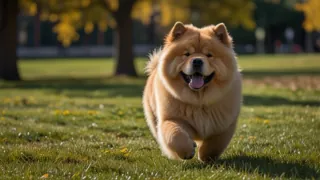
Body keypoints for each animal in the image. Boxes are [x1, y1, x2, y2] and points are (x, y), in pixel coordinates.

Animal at [144, 21, 241, 162]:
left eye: (209, 55)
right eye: (187, 54)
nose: (197, 61)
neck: (198, 101)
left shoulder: (224, 124)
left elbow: (215, 142)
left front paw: (206, 156)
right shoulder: (171, 119)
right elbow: (175, 135)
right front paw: (187, 151)